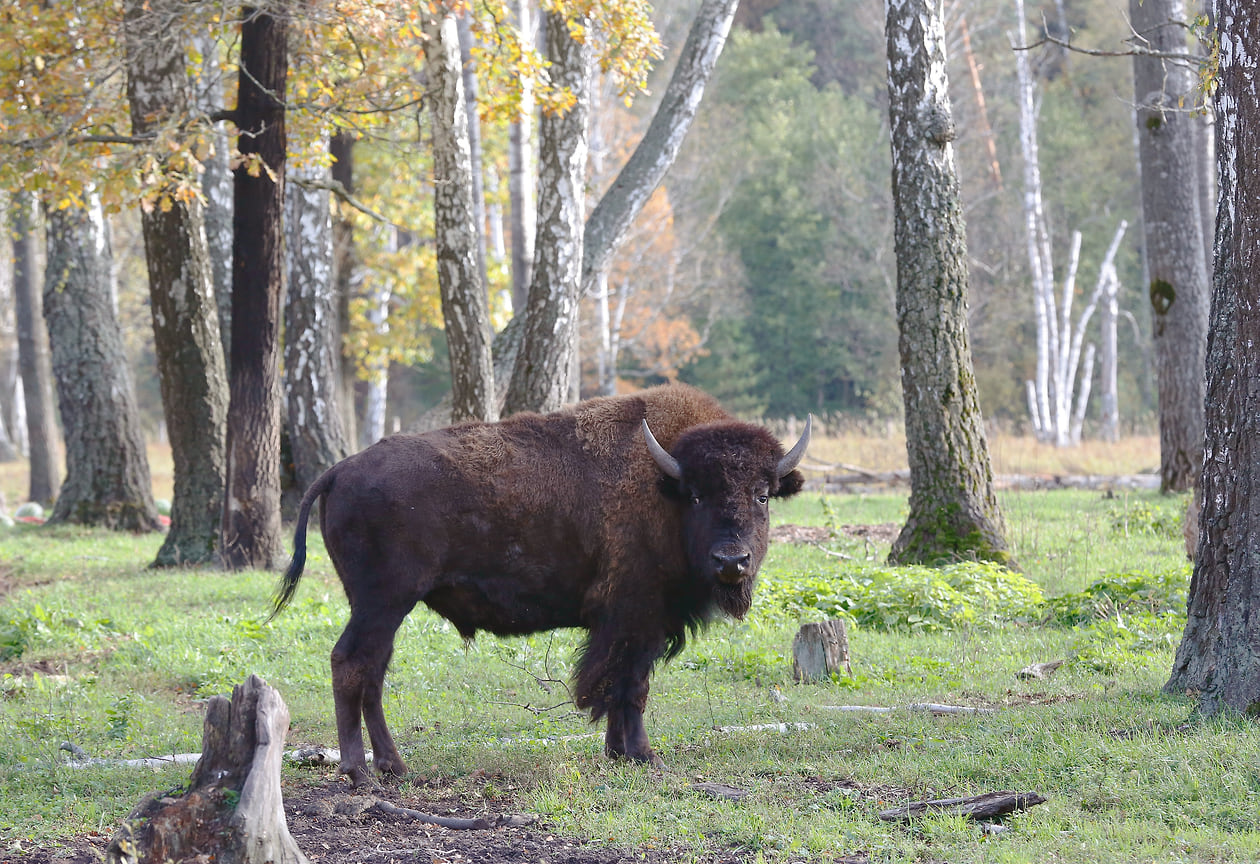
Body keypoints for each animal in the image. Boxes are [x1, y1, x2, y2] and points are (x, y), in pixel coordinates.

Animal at [270, 382, 811, 790]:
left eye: (762, 495)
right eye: (697, 495)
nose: (731, 561)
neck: (665, 483)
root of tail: (341, 469)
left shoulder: (629, 626)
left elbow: (618, 688)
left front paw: (618, 752)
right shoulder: (638, 618)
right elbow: (631, 687)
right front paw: (644, 756)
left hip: (382, 607)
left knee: (373, 673)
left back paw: (393, 766)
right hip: (383, 602)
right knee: (351, 664)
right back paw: (359, 772)